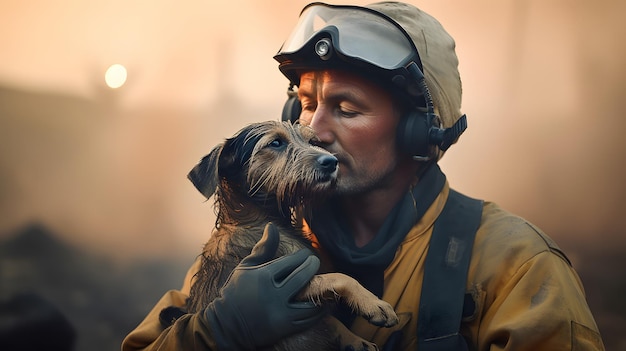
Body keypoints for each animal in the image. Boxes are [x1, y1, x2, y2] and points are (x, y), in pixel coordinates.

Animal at [188, 119, 398, 350]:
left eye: (311, 141)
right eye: (276, 143)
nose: (331, 162)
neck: (262, 220)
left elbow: (330, 319)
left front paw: (355, 339)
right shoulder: (285, 284)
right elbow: (339, 278)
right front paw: (373, 303)